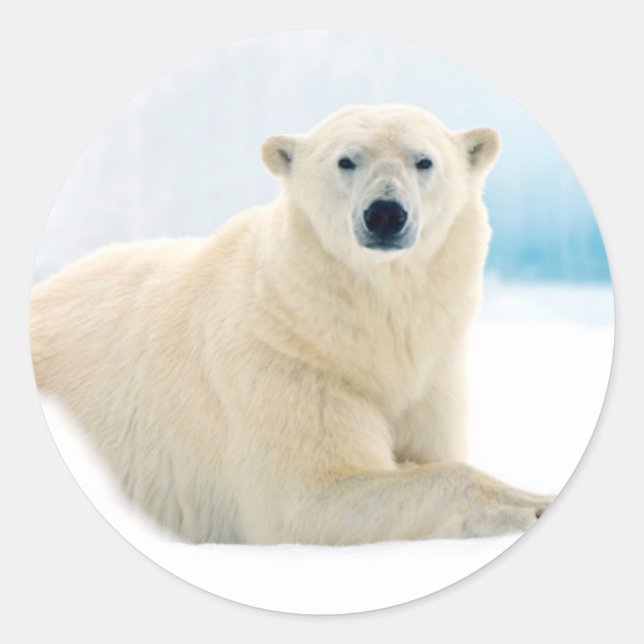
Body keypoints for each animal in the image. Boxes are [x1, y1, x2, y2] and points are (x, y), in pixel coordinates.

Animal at [30, 105, 554, 544]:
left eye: (424, 161)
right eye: (346, 160)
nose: (385, 213)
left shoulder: (431, 377)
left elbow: (434, 450)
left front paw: (535, 495)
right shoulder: (284, 365)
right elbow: (307, 495)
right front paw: (530, 507)